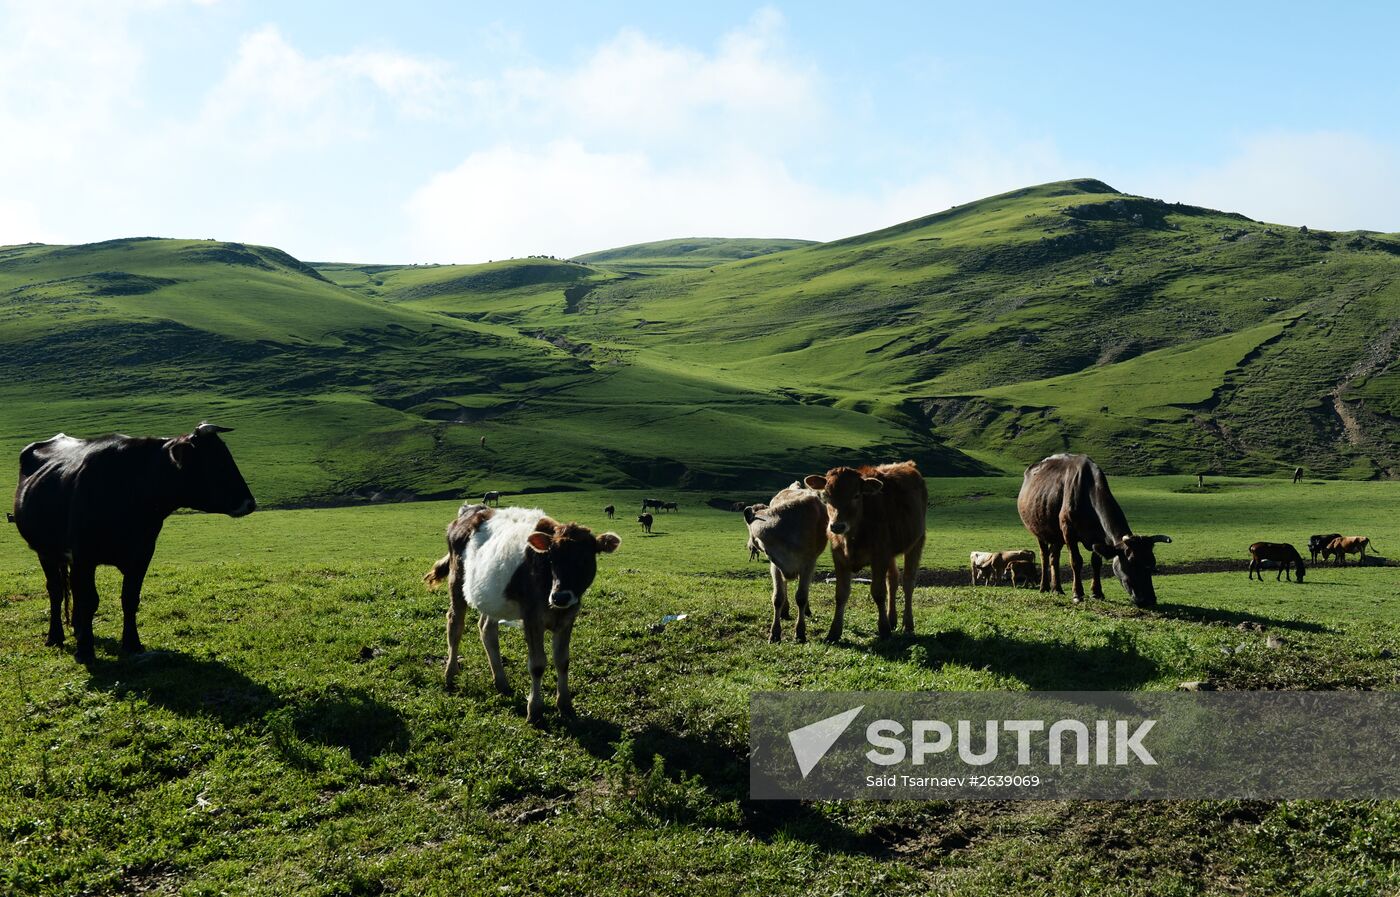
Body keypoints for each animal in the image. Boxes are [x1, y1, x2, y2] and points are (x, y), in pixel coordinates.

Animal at [10, 422, 256, 660]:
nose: (250, 503)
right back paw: (55, 636)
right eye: (213, 462)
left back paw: (78, 630)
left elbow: (129, 599)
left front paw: (131, 643)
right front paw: (85, 650)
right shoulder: (84, 555)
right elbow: (89, 600)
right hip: (46, 552)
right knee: (56, 591)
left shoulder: (142, 554)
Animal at [422, 503, 621, 722]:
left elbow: (562, 661)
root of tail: (471, 509)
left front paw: (565, 705)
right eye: (551, 558)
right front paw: (534, 710)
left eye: (585, 559)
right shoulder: (532, 617)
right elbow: (537, 664)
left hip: (492, 597)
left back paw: (501, 682)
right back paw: (450, 674)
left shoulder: (568, 616)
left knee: (486, 629)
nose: (560, 597)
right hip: (457, 581)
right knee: (455, 625)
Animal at [744, 481, 828, 643]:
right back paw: (785, 610)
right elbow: (777, 597)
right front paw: (775, 633)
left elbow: (801, 597)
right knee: (785, 585)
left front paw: (800, 632)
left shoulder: (808, 564)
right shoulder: (775, 564)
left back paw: (806, 610)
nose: (750, 544)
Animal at [800, 461, 929, 638]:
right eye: (826, 495)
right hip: (891, 553)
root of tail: (907, 464)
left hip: (917, 541)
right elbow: (841, 594)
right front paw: (834, 632)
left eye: (856, 495)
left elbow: (878, 592)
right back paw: (892, 619)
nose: (837, 526)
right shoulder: (839, 557)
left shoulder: (879, 556)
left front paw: (884, 629)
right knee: (893, 579)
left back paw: (907, 624)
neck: (853, 537)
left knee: (908, 582)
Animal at [1019, 450, 1170, 604]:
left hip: (1057, 536)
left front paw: (1097, 593)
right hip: (1039, 531)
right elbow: (1076, 560)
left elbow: (1096, 562)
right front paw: (1077, 593)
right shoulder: (1068, 530)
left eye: (1152, 562)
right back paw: (1044, 587)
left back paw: (1057, 589)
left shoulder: (1098, 537)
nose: (1149, 599)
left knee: (1053, 557)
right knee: (1044, 556)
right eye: (1132, 562)